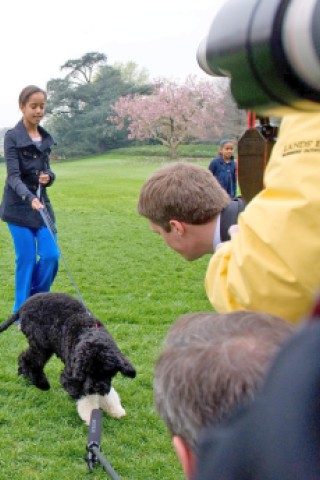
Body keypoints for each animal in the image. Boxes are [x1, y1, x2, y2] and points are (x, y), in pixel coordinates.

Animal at [0, 292, 136, 424]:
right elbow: (86, 397)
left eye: (108, 372)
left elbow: (108, 393)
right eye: (87, 372)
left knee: (25, 357)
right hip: (40, 343)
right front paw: (90, 415)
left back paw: (25, 375)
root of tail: (23, 307)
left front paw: (115, 410)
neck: (90, 333)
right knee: (29, 360)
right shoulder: (72, 377)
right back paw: (42, 384)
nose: (96, 388)